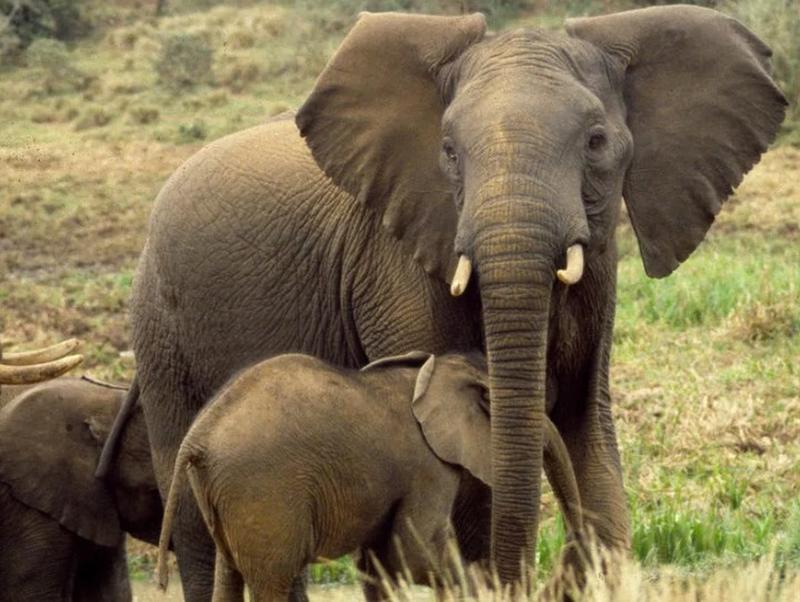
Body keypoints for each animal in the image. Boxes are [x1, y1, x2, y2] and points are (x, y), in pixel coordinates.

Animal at [156, 352, 584, 602]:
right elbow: (413, 552)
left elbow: (379, 563)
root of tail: (197, 436)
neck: (434, 371)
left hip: (225, 492)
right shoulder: (427, 467)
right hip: (262, 491)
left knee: (229, 577)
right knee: (272, 581)